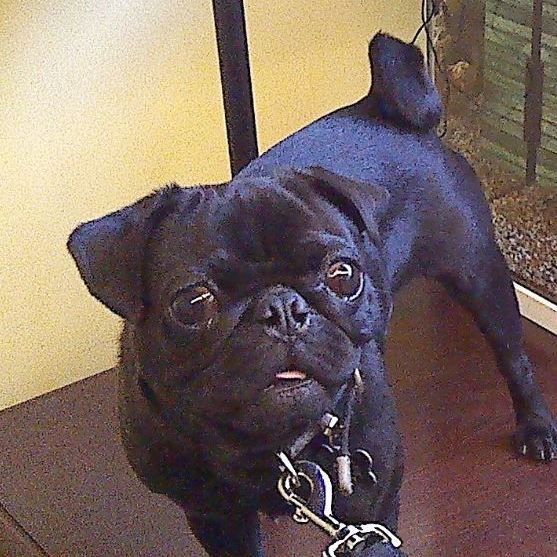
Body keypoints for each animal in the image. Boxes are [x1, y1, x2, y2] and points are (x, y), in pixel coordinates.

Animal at [67, 34, 556, 556]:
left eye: (343, 274)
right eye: (192, 303)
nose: (283, 307)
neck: (274, 448)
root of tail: (383, 108)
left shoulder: (369, 512)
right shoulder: (215, 517)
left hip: (479, 275)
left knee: (514, 358)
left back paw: (536, 428)